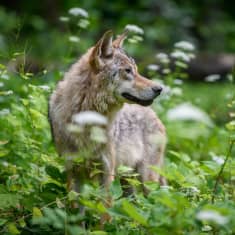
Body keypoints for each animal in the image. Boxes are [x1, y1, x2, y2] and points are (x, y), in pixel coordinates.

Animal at [48, 29, 165, 195]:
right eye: (128, 70)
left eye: (136, 70)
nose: (159, 89)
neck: (86, 118)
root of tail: (155, 115)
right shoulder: (73, 169)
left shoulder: (107, 170)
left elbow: (104, 201)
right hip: (128, 181)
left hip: (147, 181)